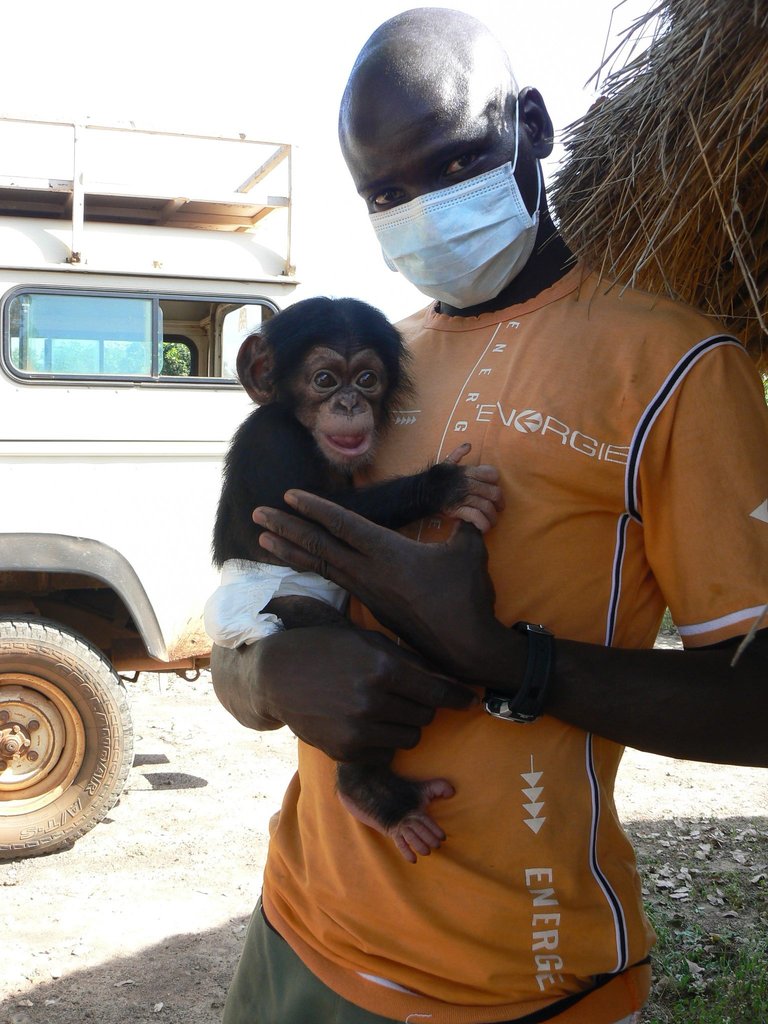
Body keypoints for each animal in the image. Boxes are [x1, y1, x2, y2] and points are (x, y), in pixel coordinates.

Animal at [206, 296, 504, 862]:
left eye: (367, 379)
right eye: (324, 379)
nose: (347, 403)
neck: (299, 425)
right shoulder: (272, 441)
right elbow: (311, 513)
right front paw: (442, 487)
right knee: (306, 614)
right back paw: (369, 789)